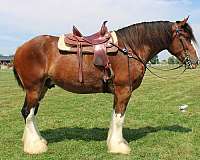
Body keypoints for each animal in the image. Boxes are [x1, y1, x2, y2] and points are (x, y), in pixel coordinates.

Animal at [12, 18, 198, 154]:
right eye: (185, 37)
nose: (195, 61)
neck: (130, 48)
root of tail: (20, 48)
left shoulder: (118, 92)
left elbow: (114, 117)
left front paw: (113, 142)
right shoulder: (124, 90)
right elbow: (119, 118)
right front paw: (119, 147)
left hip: (41, 88)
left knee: (30, 113)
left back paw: (36, 141)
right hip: (34, 88)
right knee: (28, 112)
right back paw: (35, 146)